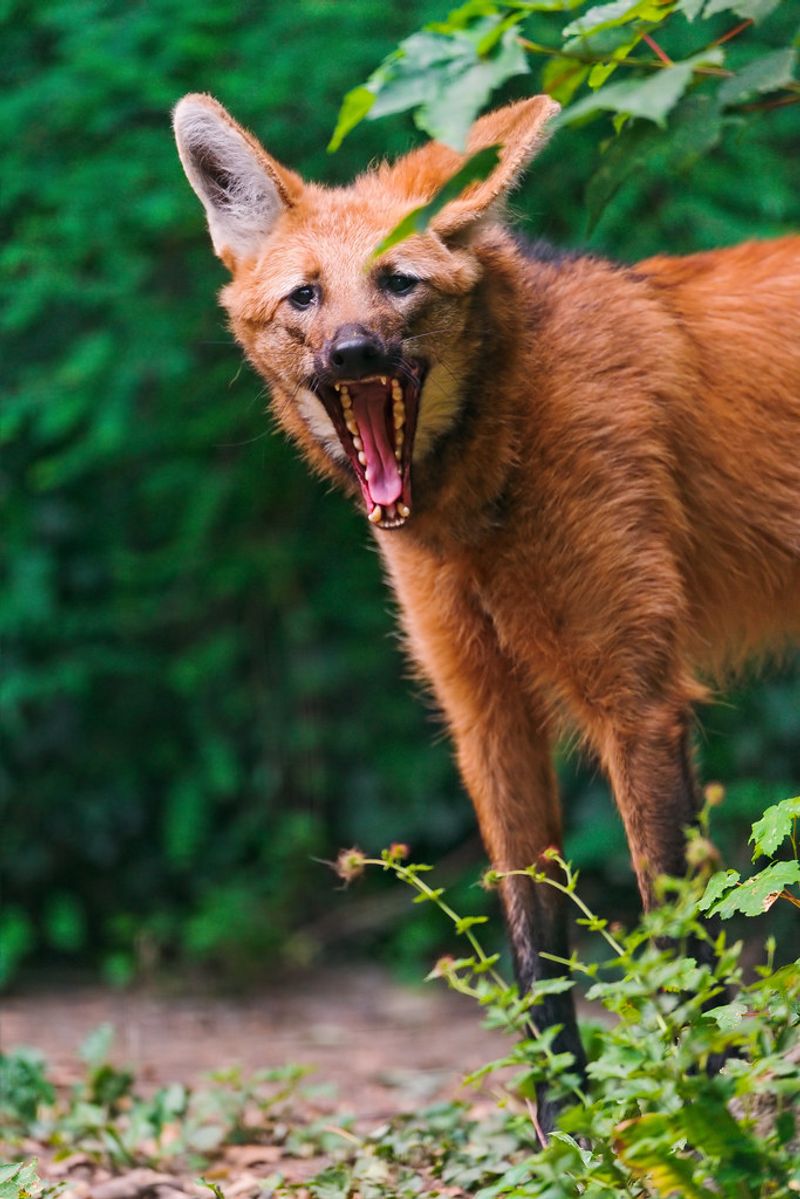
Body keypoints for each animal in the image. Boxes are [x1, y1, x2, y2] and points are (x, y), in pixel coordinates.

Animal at [173, 92, 800, 1128]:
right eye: (305, 297)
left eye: (398, 283)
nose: (353, 350)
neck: (485, 484)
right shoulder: (487, 712)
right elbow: (535, 947)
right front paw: (564, 1132)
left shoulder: (637, 699)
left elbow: (674, 931)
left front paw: (694, 1125)